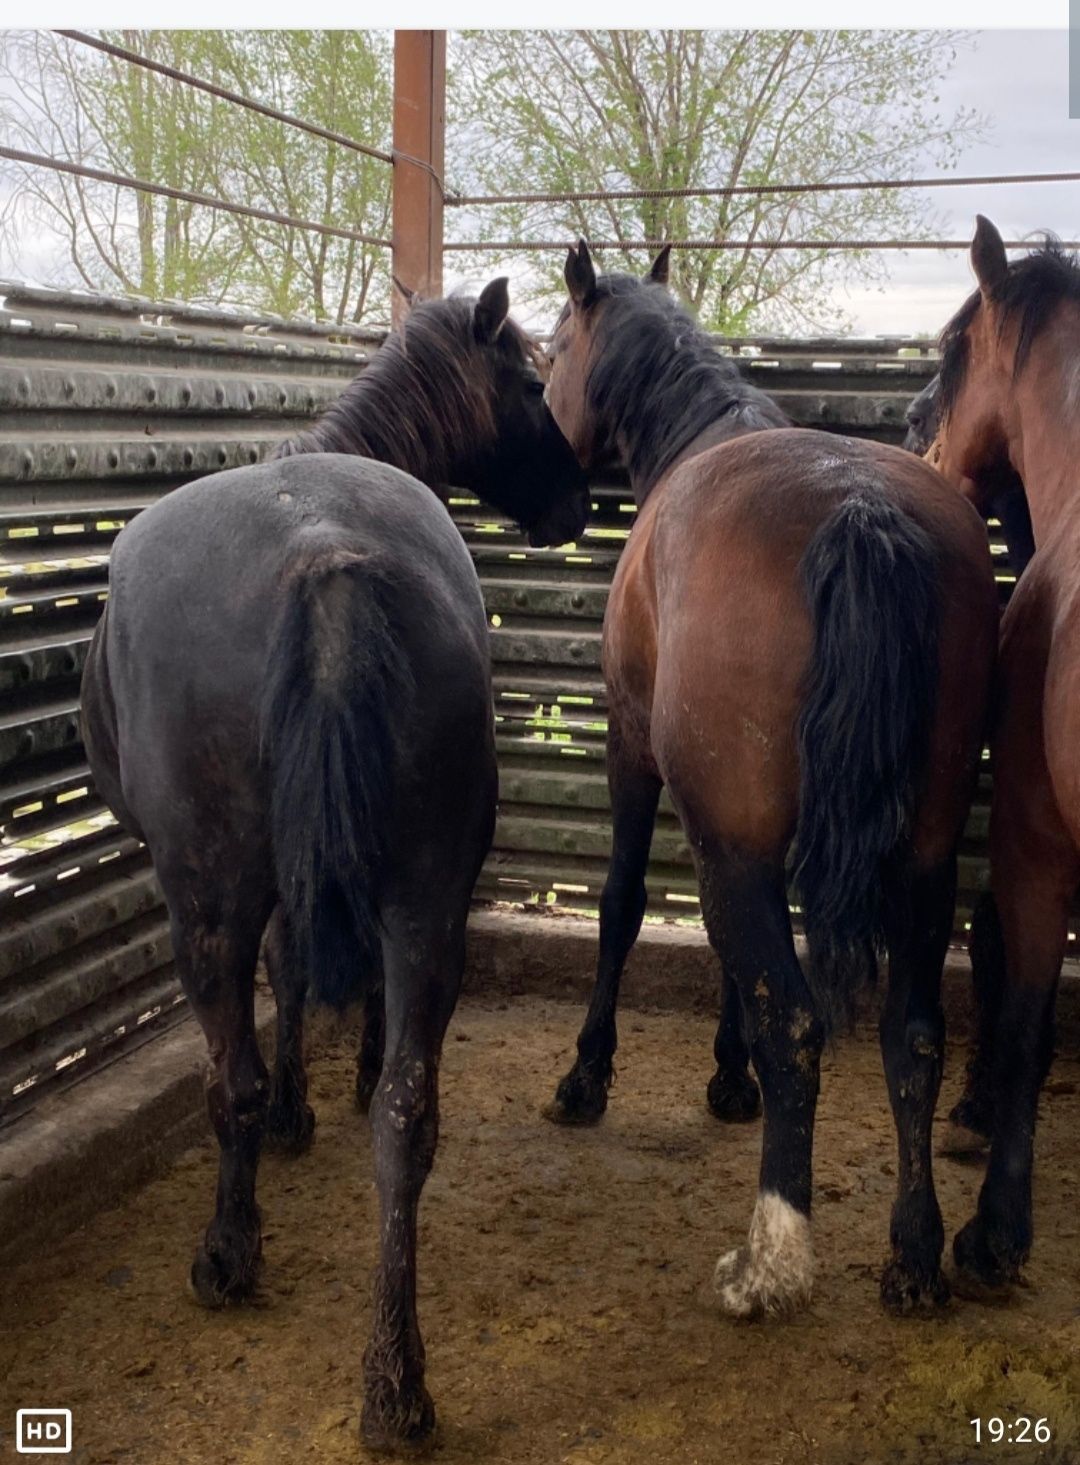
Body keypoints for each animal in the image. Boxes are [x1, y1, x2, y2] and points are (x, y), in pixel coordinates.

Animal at [82, 279, 589, 1447]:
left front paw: (295, 1110)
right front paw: (333, 1088)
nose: (580, 503)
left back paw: (229, 1255)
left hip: (206, 902)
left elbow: (285, 977)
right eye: (528, 380)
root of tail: (319, 558)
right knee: (410, 1118)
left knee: (228, 1075)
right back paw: (394, 1385)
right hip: (429, 897)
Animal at [539, 243, 996, 1318]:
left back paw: (772, 1258)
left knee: (796, 1022)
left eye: (554, 346)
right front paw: (726, 1076)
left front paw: (589, 1076)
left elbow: (622, 905)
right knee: (913, 1033)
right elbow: (734, 968)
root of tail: (858, 508)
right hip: (921, 856)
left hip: (738, 846)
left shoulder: (638, 755)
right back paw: (914, 1254)